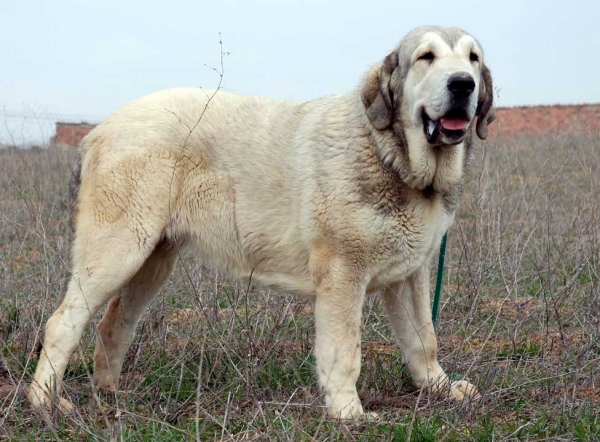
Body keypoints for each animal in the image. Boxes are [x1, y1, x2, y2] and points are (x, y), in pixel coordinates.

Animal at [28, 24, 494, 418]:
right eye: (426, 57)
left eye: (472, 58)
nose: (462, 84)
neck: (389, 154)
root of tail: (99, 129)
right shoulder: (343, 274)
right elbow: (345, 350)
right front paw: (348, 412)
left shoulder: (409, 274)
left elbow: (423, 339)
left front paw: (439, 388)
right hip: (118, 252)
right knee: (62, 322)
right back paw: (45, 403)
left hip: (153, 261)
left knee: (114, 324)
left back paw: (110, 394)